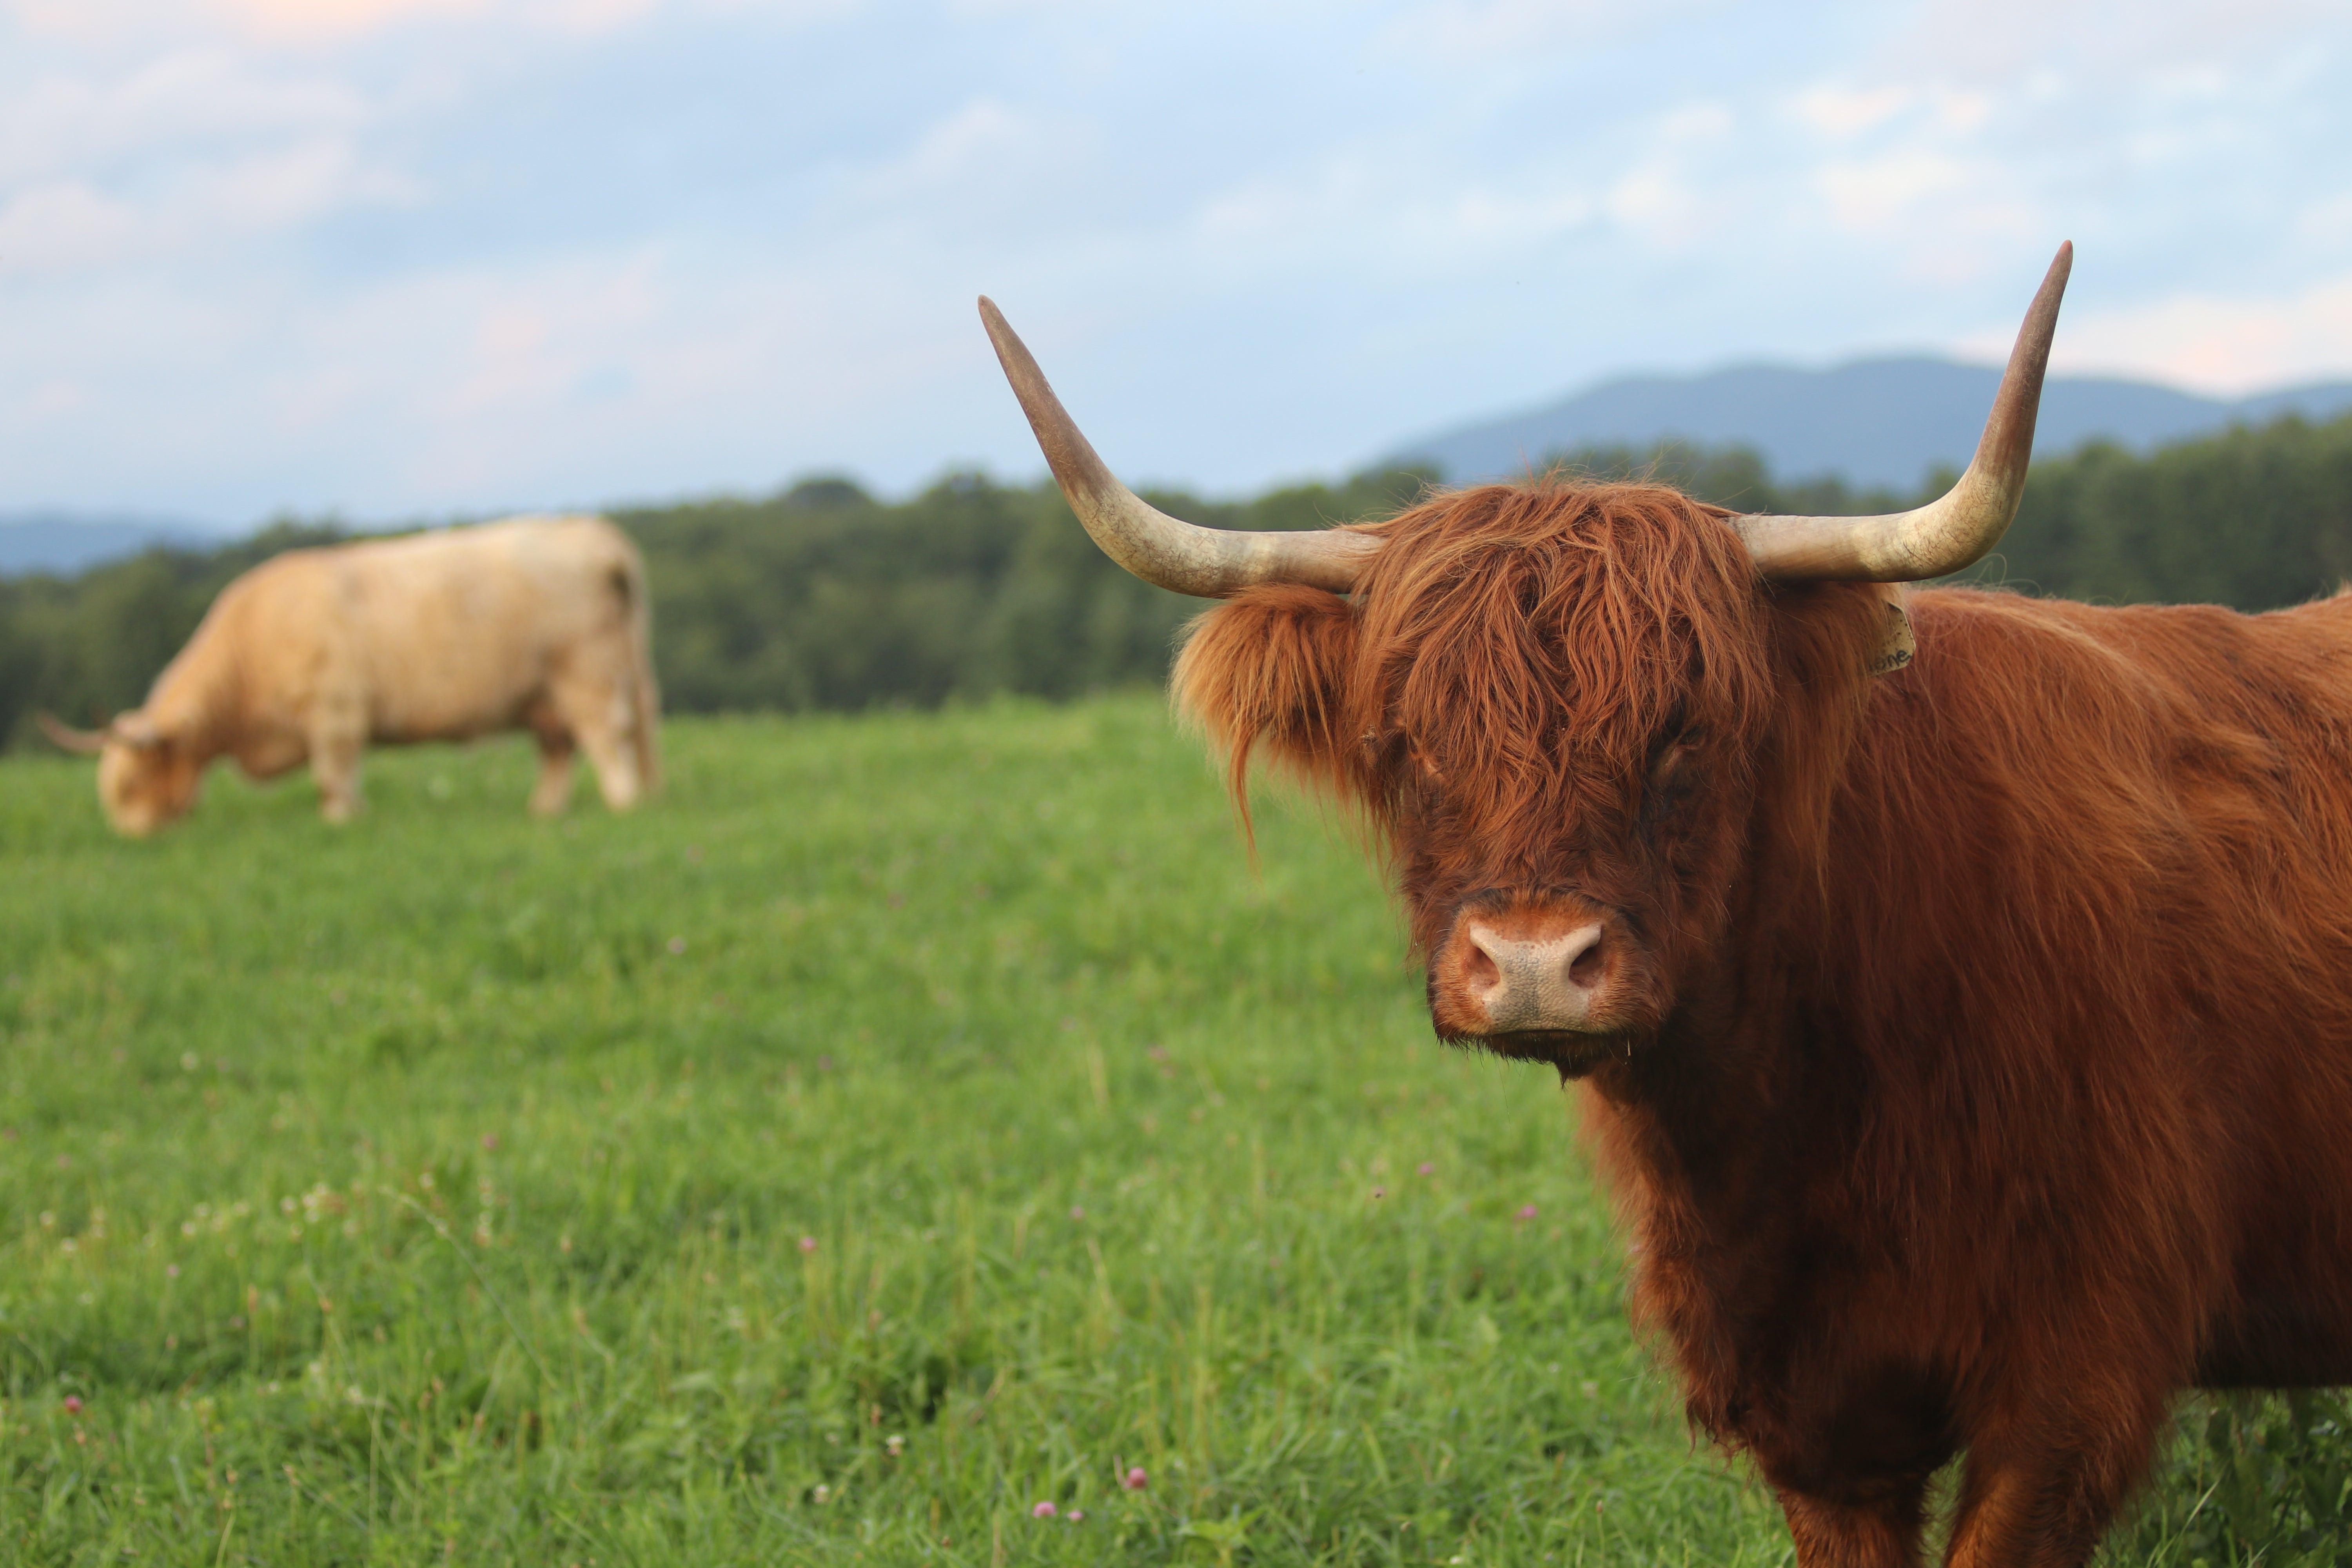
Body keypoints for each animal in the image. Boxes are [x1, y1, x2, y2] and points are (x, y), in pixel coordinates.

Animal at [39, 515, 660, 835]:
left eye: (129, 783)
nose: (129, 836)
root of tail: (588, 531)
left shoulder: (334, 712)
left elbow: (332, 775)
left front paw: (341, 821)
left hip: (585, 674)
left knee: (607, 738)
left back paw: (624, 803)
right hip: (551, 692)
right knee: (561, 751)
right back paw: (544, 813)